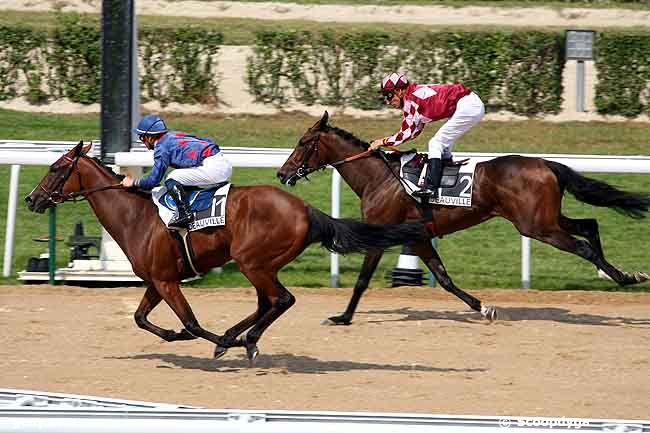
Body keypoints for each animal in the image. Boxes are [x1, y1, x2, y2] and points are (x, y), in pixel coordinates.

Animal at [26, 141, 426, 362]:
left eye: (56, 168)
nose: (31, 199)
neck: (136, 217)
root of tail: (306, 208)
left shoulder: (168, 282)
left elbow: (190, 323)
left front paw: (208, 340)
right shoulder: (158, 280)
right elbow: (140, 318)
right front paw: (183, 337)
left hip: (252, 262)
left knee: (281, 300)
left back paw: (241, 340)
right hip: (264, 265)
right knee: (268, 303)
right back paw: (243, 337)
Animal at [274, 111, 648, 324]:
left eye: (303, 142)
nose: (282, 173)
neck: (379, 177)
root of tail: (545, 163)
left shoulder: (381, 233)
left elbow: (363, 280)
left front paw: (343, 317)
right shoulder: (418, 237)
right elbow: (444, 278)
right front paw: (483, 308)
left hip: (536, 226)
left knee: (583, 246)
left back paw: (622, 277)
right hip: (546, 219)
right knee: (590, 225)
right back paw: (623, 273)